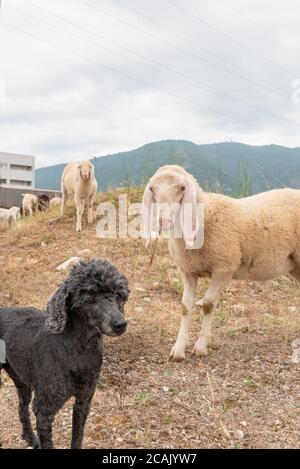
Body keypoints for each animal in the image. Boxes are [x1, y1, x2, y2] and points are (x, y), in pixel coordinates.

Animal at [141, 165, 300, 362]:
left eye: (182, 188)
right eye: (152, 189)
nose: (164, 222)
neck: (204, 218)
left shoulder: (223, 269)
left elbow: (208, 304)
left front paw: (201, 346)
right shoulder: (188, 271)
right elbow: (185, 306)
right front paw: (178, 349)